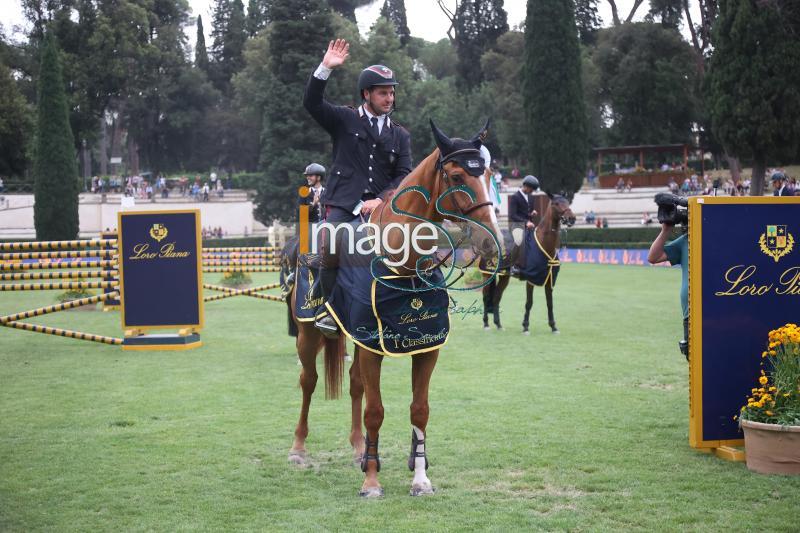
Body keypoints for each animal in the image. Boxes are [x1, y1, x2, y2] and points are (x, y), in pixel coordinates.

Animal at [288, 119, 500, 494]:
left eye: (488, 173)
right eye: (457, 176)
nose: (490, 241)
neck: (404, 265)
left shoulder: (426, 348)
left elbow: (419, 409)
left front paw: (420, 477)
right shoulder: (374, 347)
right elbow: (375, 410)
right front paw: (372, 481)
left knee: (355, 383)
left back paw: (359, 447)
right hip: (308, 333)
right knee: (309, 380)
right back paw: (299, 448)